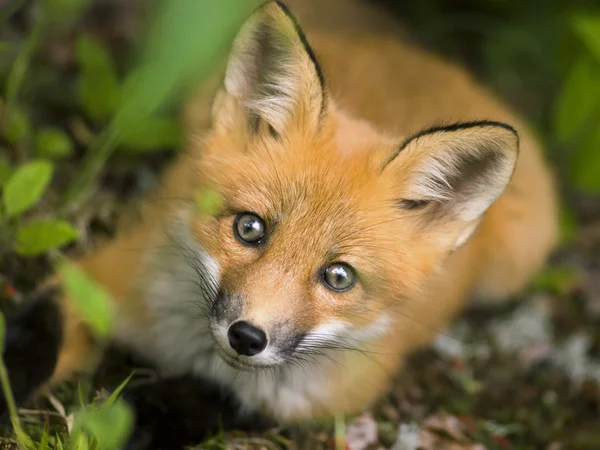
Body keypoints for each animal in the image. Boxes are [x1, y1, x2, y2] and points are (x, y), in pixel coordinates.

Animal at [2, 0, 560, 446]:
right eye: (250, 228)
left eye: (339, 276)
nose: (247, 337)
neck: (190, 349)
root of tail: (429, 60)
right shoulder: (101, 278)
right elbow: (33, 338)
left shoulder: (322, 396)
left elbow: (220, 398)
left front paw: (135, 415)